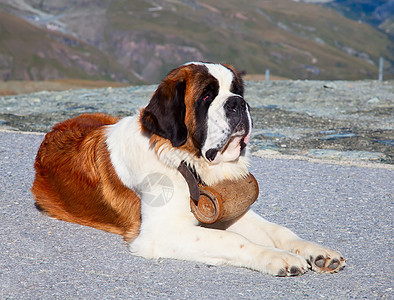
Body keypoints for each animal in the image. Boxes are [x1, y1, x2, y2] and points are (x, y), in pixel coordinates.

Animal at [31, 62, 344, 276]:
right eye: (206, 97)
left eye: (237, 91)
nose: (239, 102)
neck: (186, 163)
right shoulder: (160, 233)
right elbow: (232, 239)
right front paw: (279, 258)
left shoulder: (227, 210)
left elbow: (278, 230)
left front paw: (317, 252)